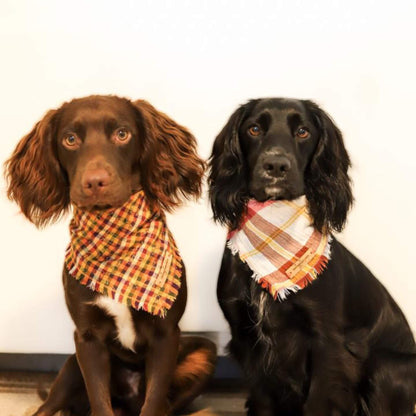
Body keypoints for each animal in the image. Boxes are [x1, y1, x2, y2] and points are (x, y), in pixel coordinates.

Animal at [4, 96, 216, 416]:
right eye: (70, 139)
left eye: (122, 134)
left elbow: (154, 402)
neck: (115, 243)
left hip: (205, 352)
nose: (95, 182)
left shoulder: (166, 334)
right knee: (49, 408)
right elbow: (100, 402)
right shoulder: (87, 338)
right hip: (71, 366)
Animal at [210, 98, 414, 416]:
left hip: (385, 366)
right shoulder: (247, 338)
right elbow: (263, 399)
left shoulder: (326, 342)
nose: (276, 165)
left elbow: (318, 401)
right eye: (254, 129)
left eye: (303, 131)